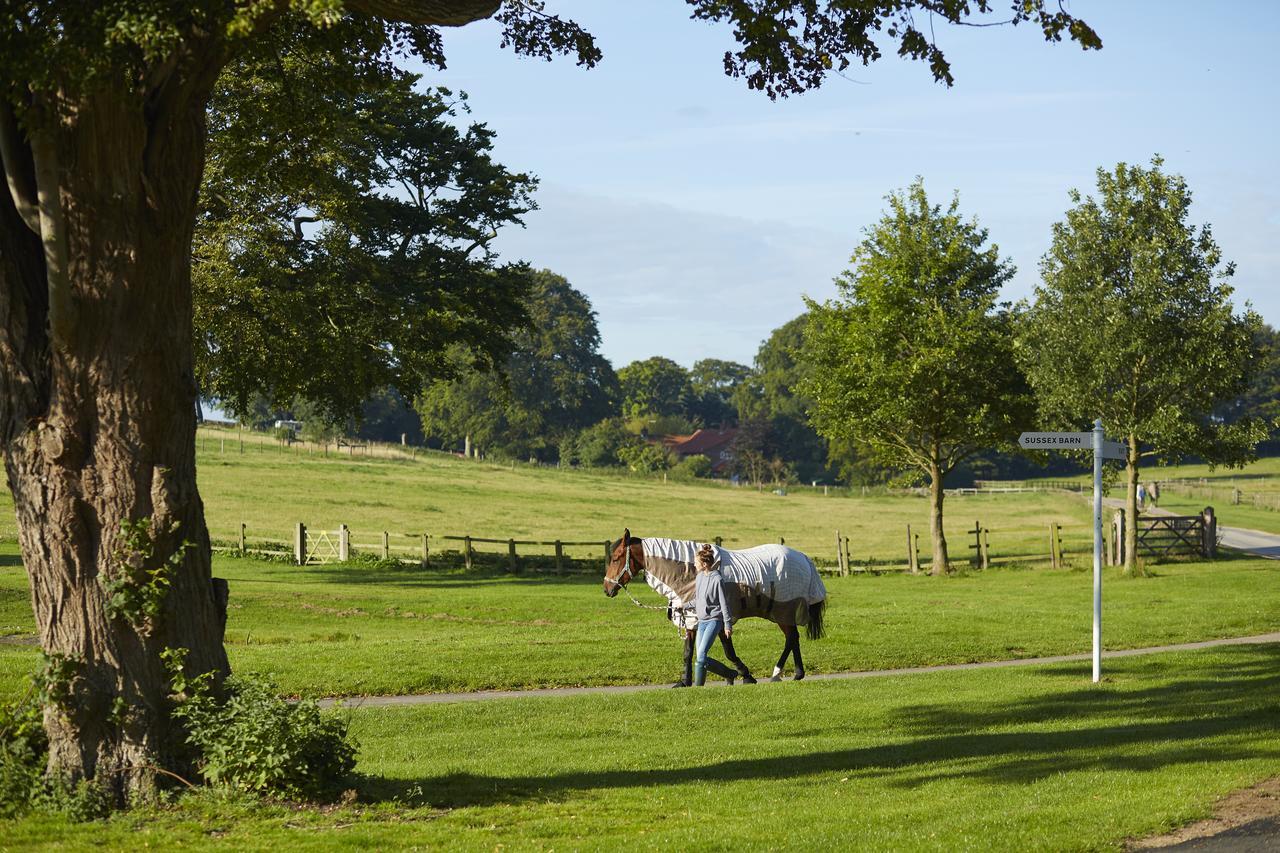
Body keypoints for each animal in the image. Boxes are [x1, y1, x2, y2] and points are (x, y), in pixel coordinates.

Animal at [601, 525, 824, 686]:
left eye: (616, 558)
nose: (607, 589)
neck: (692, 572)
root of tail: (804, 558)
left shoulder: (721, 619)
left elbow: (728, 652)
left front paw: (746, 676)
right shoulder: (691, 618)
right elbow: (689, 651)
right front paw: (684, 681)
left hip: (782, 610)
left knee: (791, 638)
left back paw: (778, 673)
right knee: (793, 638)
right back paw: (797, 674)